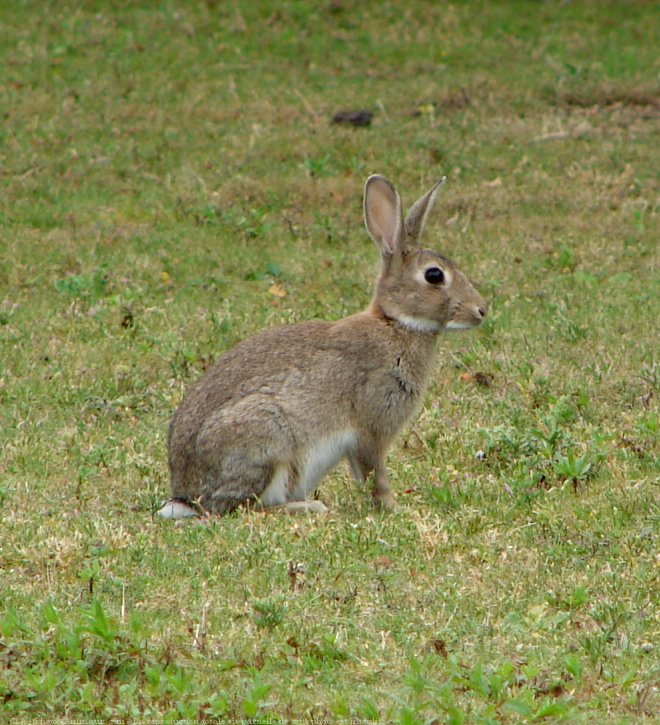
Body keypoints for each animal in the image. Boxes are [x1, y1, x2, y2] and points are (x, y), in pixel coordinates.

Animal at [157, 173, 488, 516]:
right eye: (434, 275)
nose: (481, 310)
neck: (395, 323)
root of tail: (186, 494)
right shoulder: (370, 426)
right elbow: (375, 473)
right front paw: (392, 507)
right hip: (267, 437)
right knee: (245, 507)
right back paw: (308, 507)